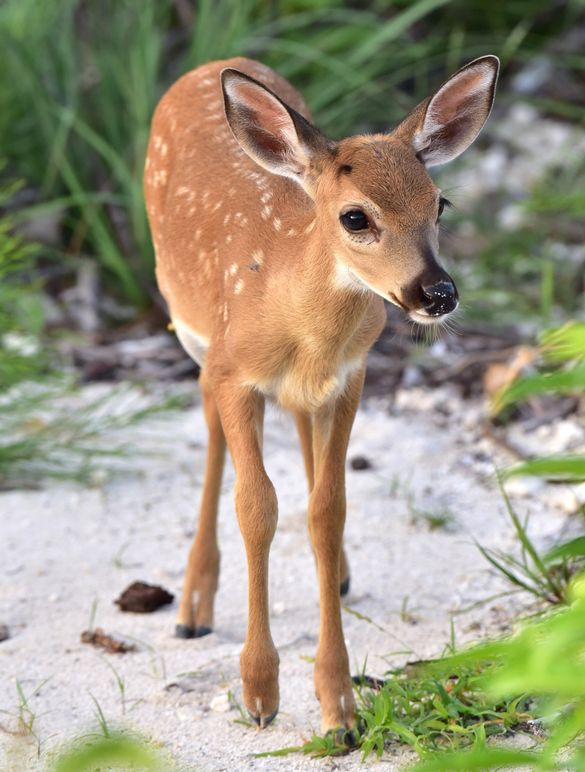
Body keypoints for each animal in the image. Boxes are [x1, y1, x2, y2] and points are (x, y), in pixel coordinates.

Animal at [144, 54, 499, 736]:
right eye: (356, 216)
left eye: (440, 204)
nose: (438, 294)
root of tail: (212, 66)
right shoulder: (236, 374)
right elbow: (256, 508)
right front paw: (260, 692)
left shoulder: (351, 375)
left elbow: (327, 509)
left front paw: (339, 705)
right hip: (189, 326)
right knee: (208, 422)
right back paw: (193, 604)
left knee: (304, 447)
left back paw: (337, 578)